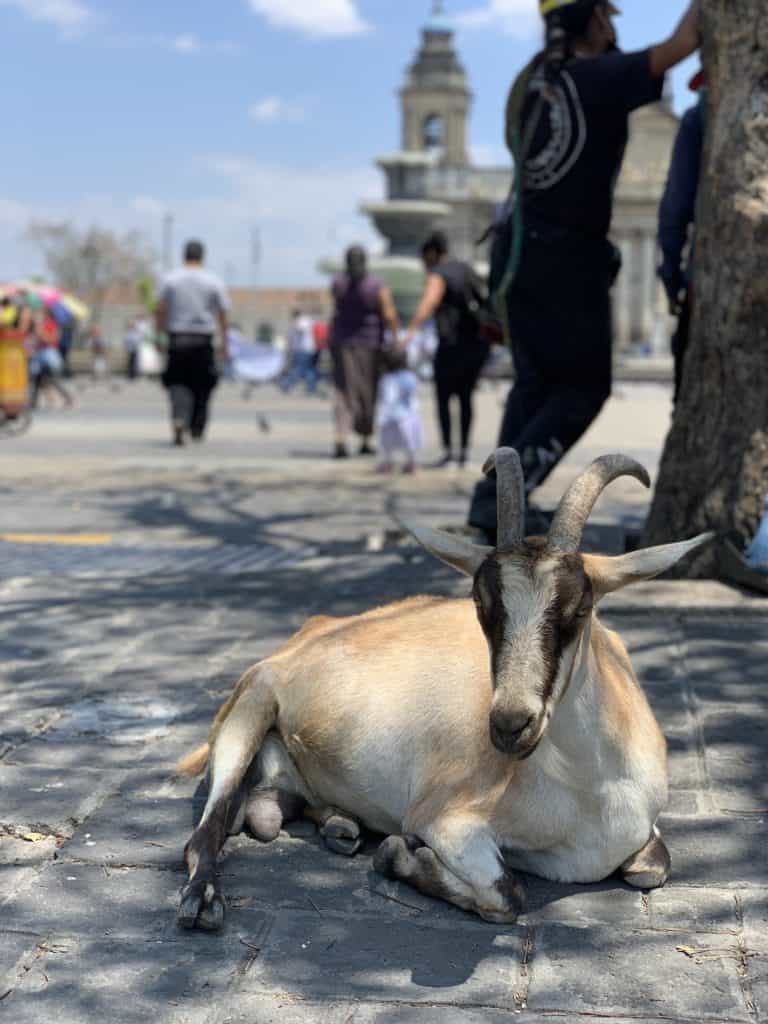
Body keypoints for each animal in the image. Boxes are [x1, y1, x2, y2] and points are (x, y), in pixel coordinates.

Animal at [177, 448, 712, 929]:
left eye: (580, 609)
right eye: (480, 604)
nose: (510, 724)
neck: (590, 793)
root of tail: (313, 630)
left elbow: (653, 868)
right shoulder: (446, 819)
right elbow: (505, 893)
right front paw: (397, 853)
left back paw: (339, 825)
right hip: (249, 711)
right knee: (206, 830)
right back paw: (203, 902)